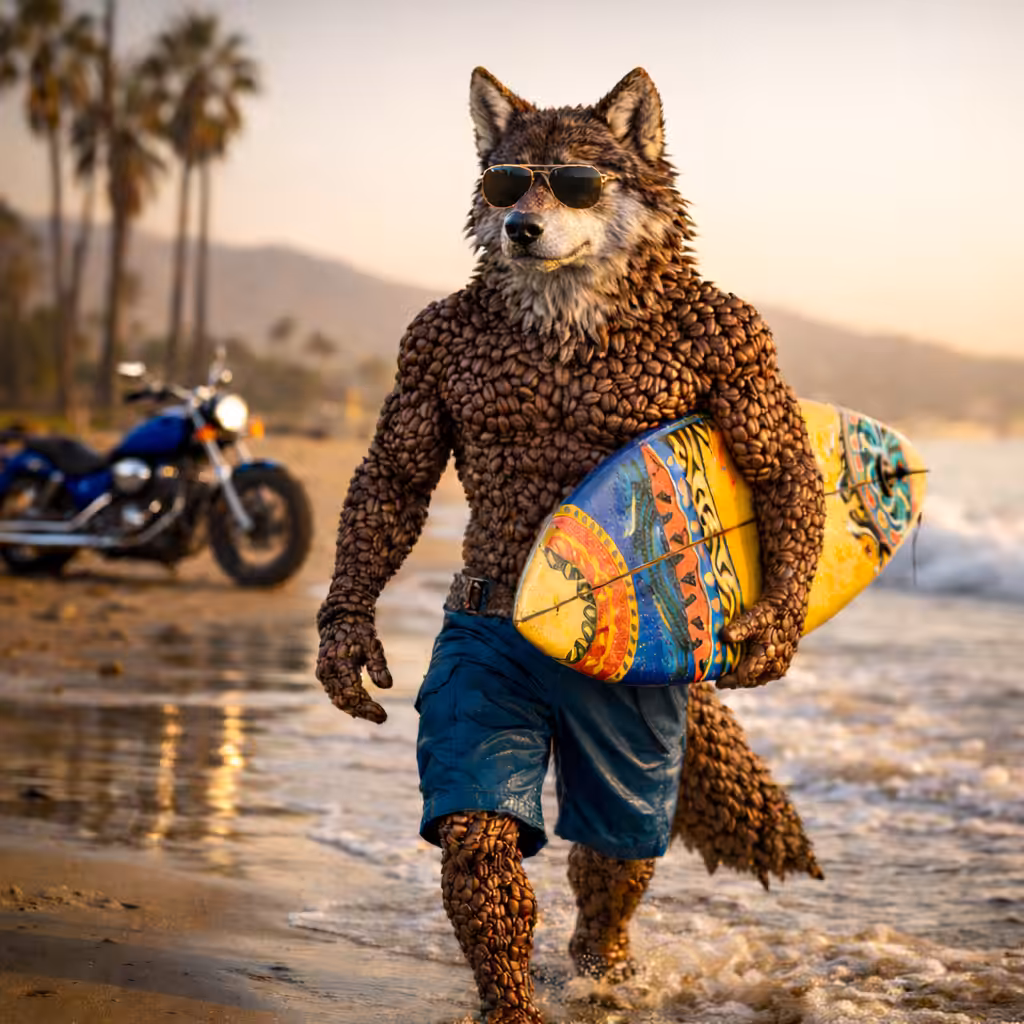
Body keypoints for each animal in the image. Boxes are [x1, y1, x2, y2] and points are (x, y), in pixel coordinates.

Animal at [317, 67, 826, 1022]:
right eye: (508, 181)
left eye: (580, 181)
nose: (520, 224)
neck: (568, 312)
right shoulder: (423, 351)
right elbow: (395, 476)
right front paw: (345, 641)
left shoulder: (739, 340)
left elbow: (780, 466)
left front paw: (773, 628)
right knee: (506, 843)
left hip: (637, 740)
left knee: (618, 849)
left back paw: (604, 965)